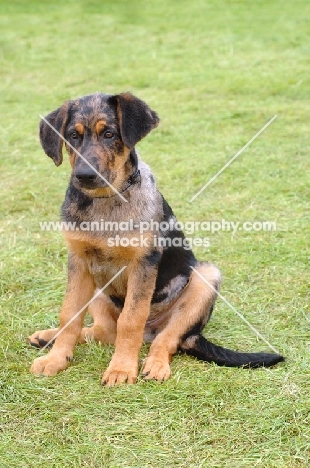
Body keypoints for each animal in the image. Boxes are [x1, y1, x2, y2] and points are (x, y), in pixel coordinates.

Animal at [28, 91, 284, 384]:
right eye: (72, 135)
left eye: (109, 134)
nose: (84, 176)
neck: (106, 200)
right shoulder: (79, 262)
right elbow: (69, 315)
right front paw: (56, 359)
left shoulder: (143, 263)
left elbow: (131, 320)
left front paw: (121, 369)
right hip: (99, 289)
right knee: (104, 331)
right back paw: (47, 337)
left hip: (205, 279)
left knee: (166, 339)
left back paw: (156, 364)